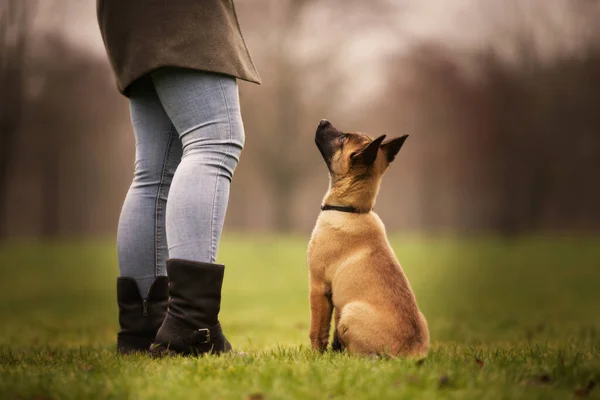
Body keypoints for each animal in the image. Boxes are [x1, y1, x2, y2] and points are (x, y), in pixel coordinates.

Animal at [308, 120, 428, 358]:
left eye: (343, 138)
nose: (323, 121)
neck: (352, 210)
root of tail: (412, 352)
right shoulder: (336, 297)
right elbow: (333, 334)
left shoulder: (319, 286)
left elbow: (318, 331)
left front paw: (315, 357)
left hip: (351, 311)